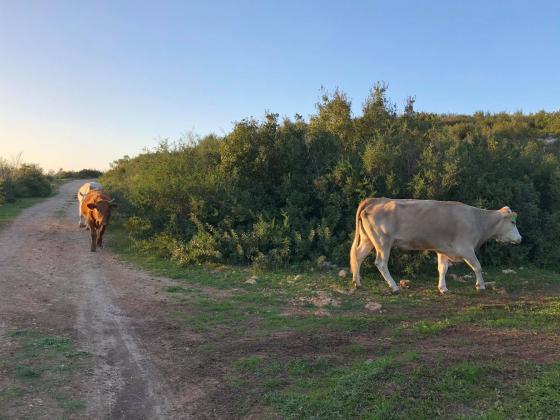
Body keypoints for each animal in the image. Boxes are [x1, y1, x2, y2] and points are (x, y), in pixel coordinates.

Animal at [350, 199, 520, 294]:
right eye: (513, 222)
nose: (520, 238)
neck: (478, 220)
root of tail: (375, 200)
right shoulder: (466, 248)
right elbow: (477, 266)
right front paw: (481, 286)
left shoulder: (443, 249)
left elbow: (442, 268)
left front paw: (443, 288)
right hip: (383, 241)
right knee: (381, 263)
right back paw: (394, 287)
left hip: (368, 239)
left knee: (358, 256)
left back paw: (357, 283)